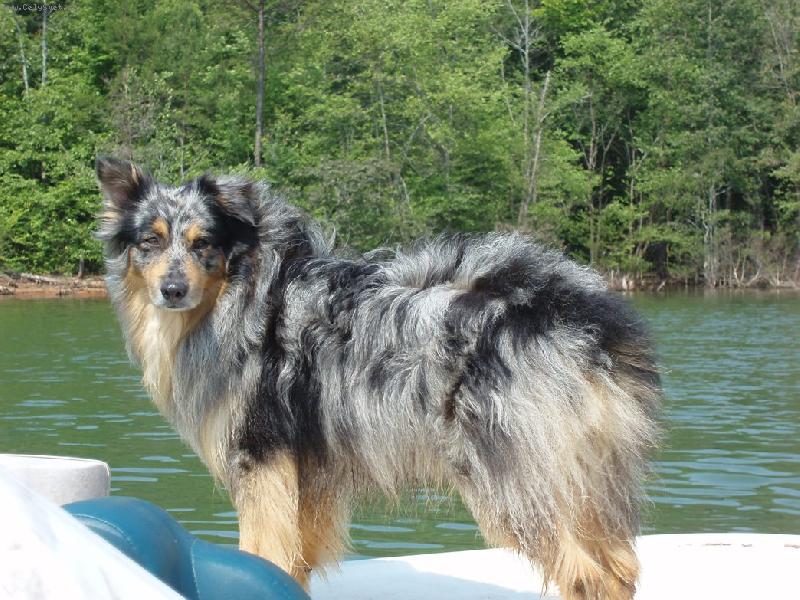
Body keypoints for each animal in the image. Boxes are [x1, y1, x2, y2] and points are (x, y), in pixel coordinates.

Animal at [96, 157, 661, 599]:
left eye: (203, 244)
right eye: (149, 242)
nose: (171, 290)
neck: (243, 293)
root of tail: (576, 319)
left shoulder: (261, 456)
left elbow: (262, 555)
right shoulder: (307, 473)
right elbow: (292, 565)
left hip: (516, 476)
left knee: (588, 577)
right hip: (582, 476)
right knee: (621, 570)